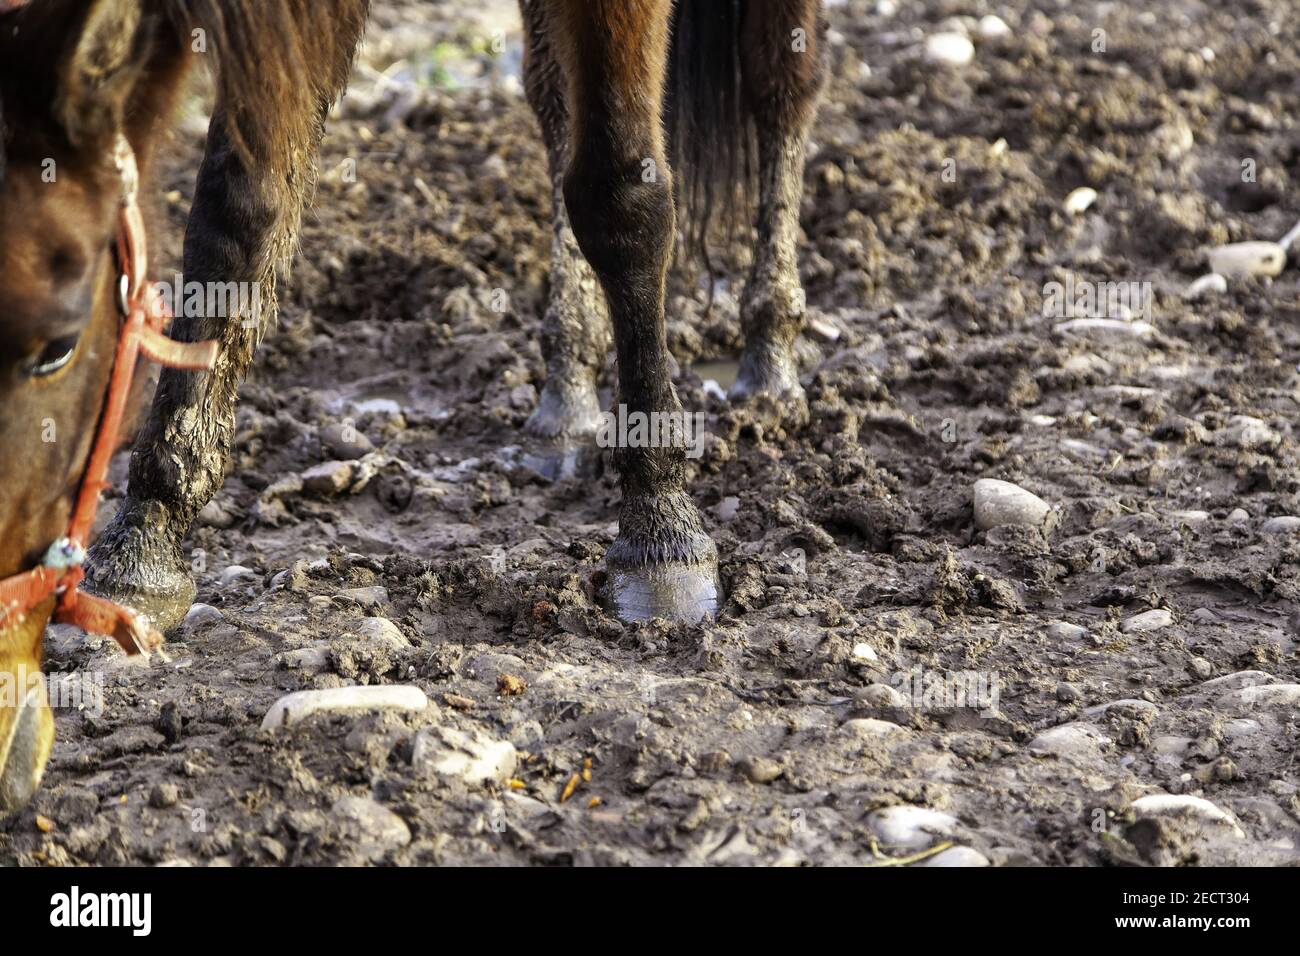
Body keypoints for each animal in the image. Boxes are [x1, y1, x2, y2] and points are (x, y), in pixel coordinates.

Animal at [0, 0, 825, 816]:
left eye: (59, 346)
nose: (15, 736)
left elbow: (623, 194)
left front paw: (662, 526)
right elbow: (239, 204)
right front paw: (148, 540)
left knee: (783, 82)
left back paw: (771, 357)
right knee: (556, 104)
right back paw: (567, 392)